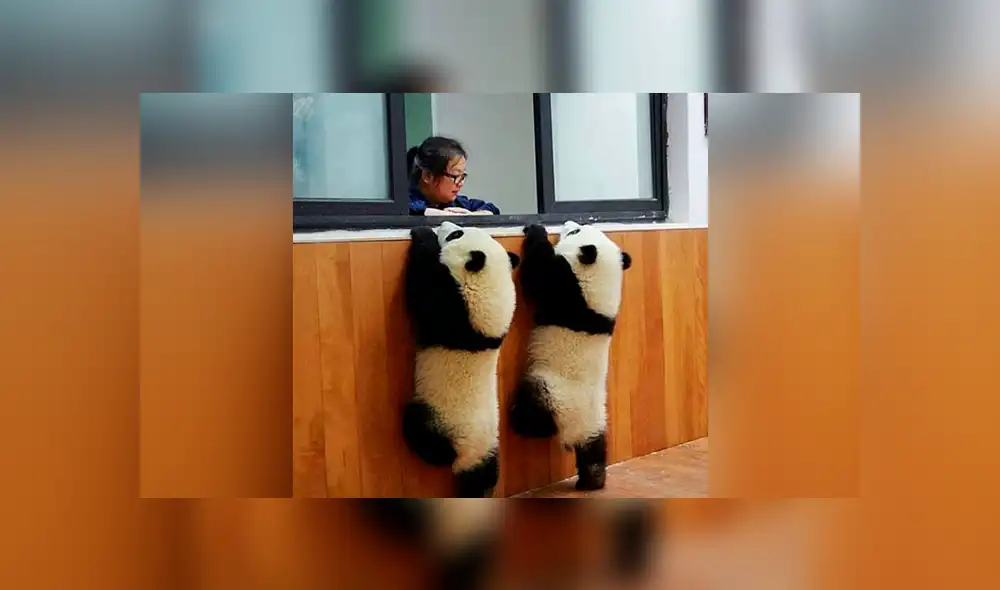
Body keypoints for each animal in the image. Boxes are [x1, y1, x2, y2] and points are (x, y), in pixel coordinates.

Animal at [402, 221, 520, 498]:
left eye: (457, 234)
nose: (444, 224)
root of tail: (469, 455)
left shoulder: (457, 312)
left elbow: (423, 290)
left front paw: (423, 234)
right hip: (490, 447)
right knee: (485, 476)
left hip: (441, 420)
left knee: (421, 431)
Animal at [510, 220, 632, 491]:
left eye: (575, 233)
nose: (568, 224)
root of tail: (576, 431)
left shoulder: (570, 292)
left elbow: (538, 278)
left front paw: (536, 230)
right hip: (598, 419)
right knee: (595, 451)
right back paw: (592, 480)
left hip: (553, 393)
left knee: (533, 411)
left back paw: (517, 418)